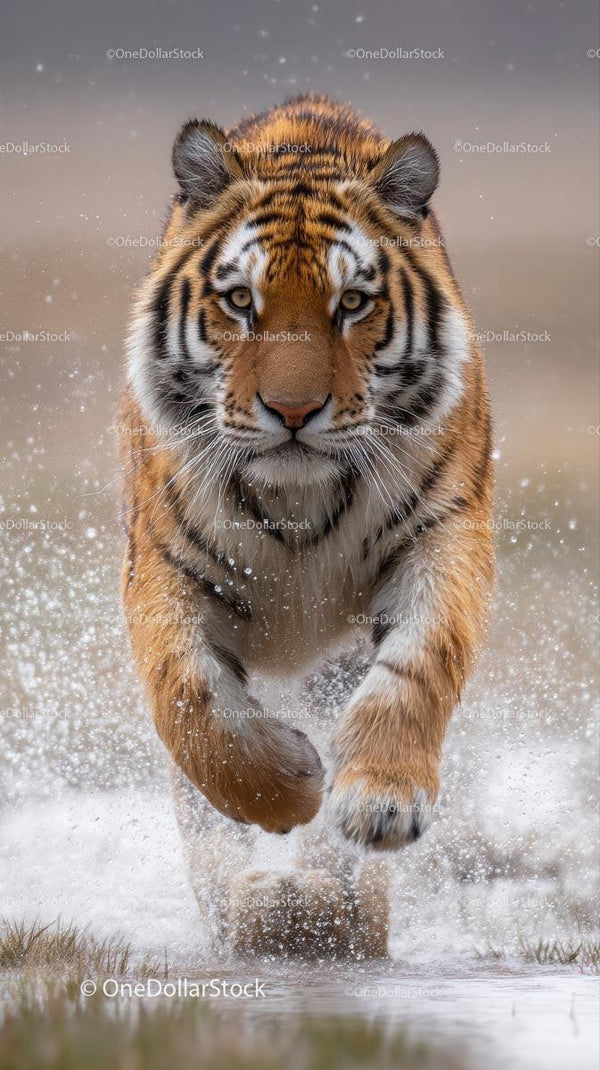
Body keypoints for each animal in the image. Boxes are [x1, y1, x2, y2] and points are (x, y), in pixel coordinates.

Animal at [120, 95, 495, 957]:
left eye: (351, 303)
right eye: (240, 302)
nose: (292, 412)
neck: (297, 498)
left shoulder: (444, 534)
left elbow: (417, 666)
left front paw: (378, 802)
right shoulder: (163, 568)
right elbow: (193, 703)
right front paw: (290, 791)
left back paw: (323, 905)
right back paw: (263, 904)